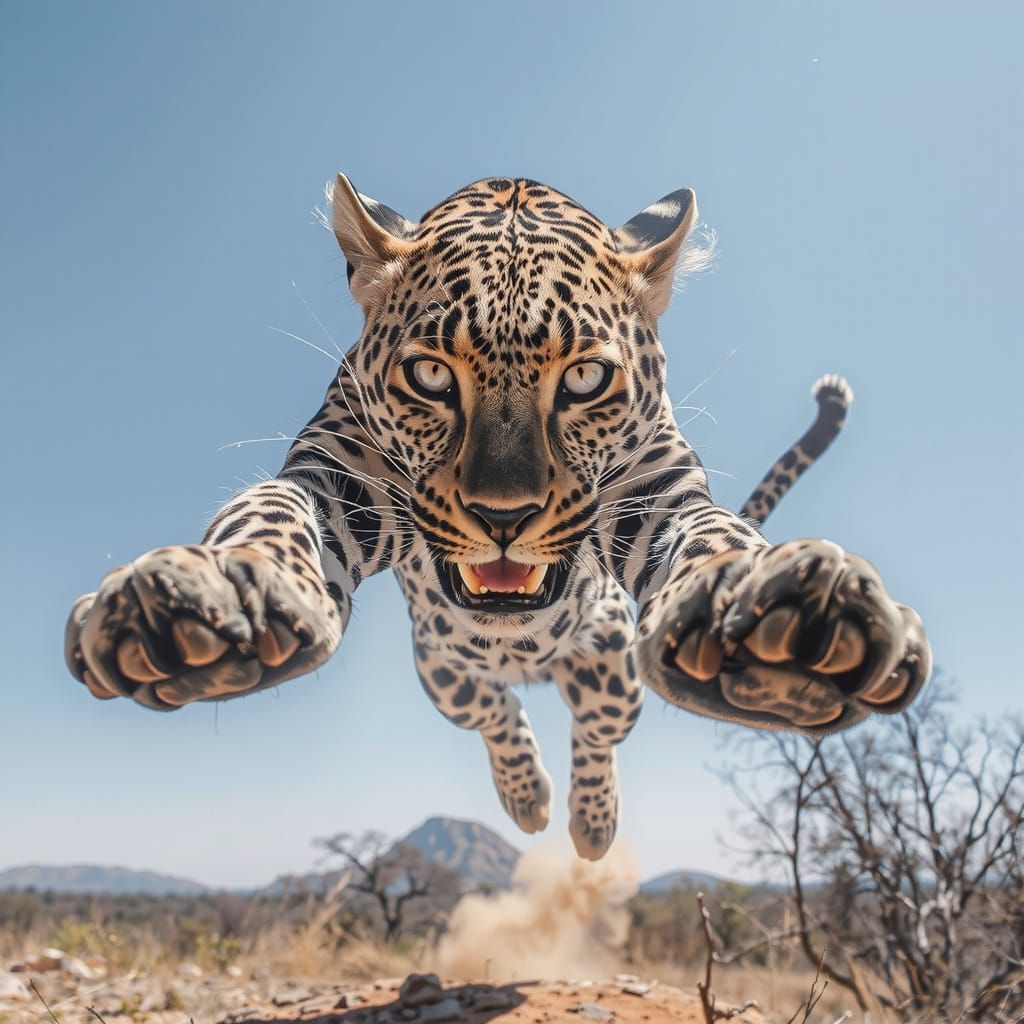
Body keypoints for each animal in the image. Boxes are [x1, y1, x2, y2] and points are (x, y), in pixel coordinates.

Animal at [65, 175, 931, 860]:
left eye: (583, 379)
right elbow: (271, 510)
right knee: (494, 710)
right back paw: (528, 801)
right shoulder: (340, 474)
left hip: (612, 661)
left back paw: (590, 825)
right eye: (429, 376)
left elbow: (713, 538)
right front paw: (204, 598)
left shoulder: (653, 490)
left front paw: (775, 617)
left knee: (596, 730)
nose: (503, 516)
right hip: (440, 670)